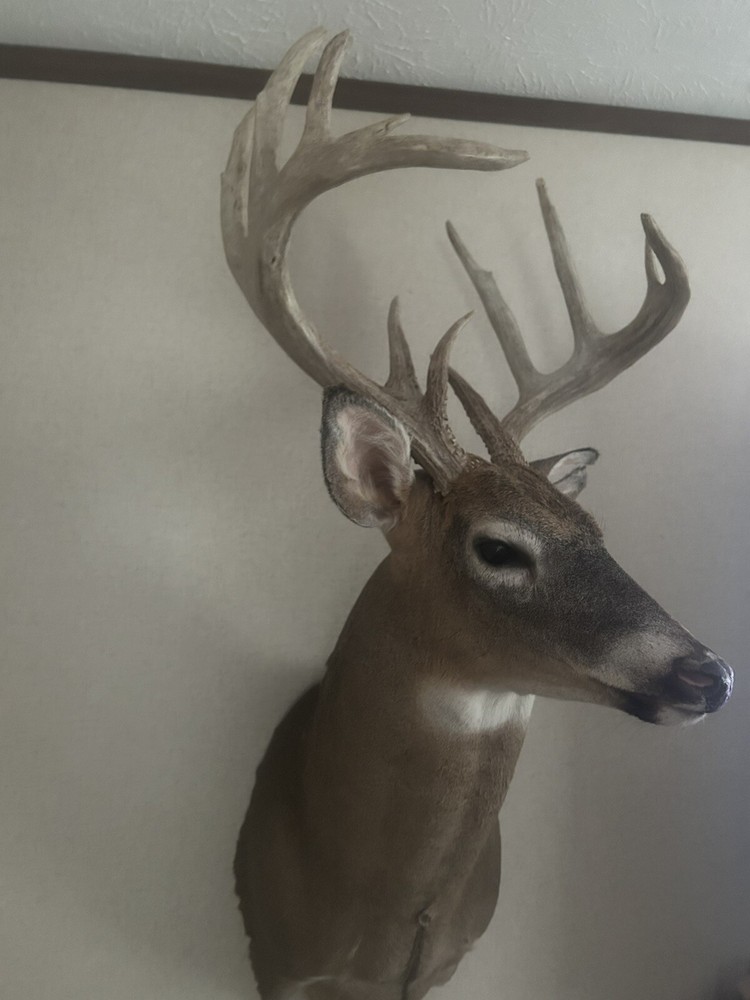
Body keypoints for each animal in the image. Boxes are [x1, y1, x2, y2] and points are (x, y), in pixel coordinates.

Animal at [221, 29, 734, 1000]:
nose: (710, 675)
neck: (374, 917)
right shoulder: (277, 963)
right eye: (499, 547)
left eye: (600, 535)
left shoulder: (447, 966)